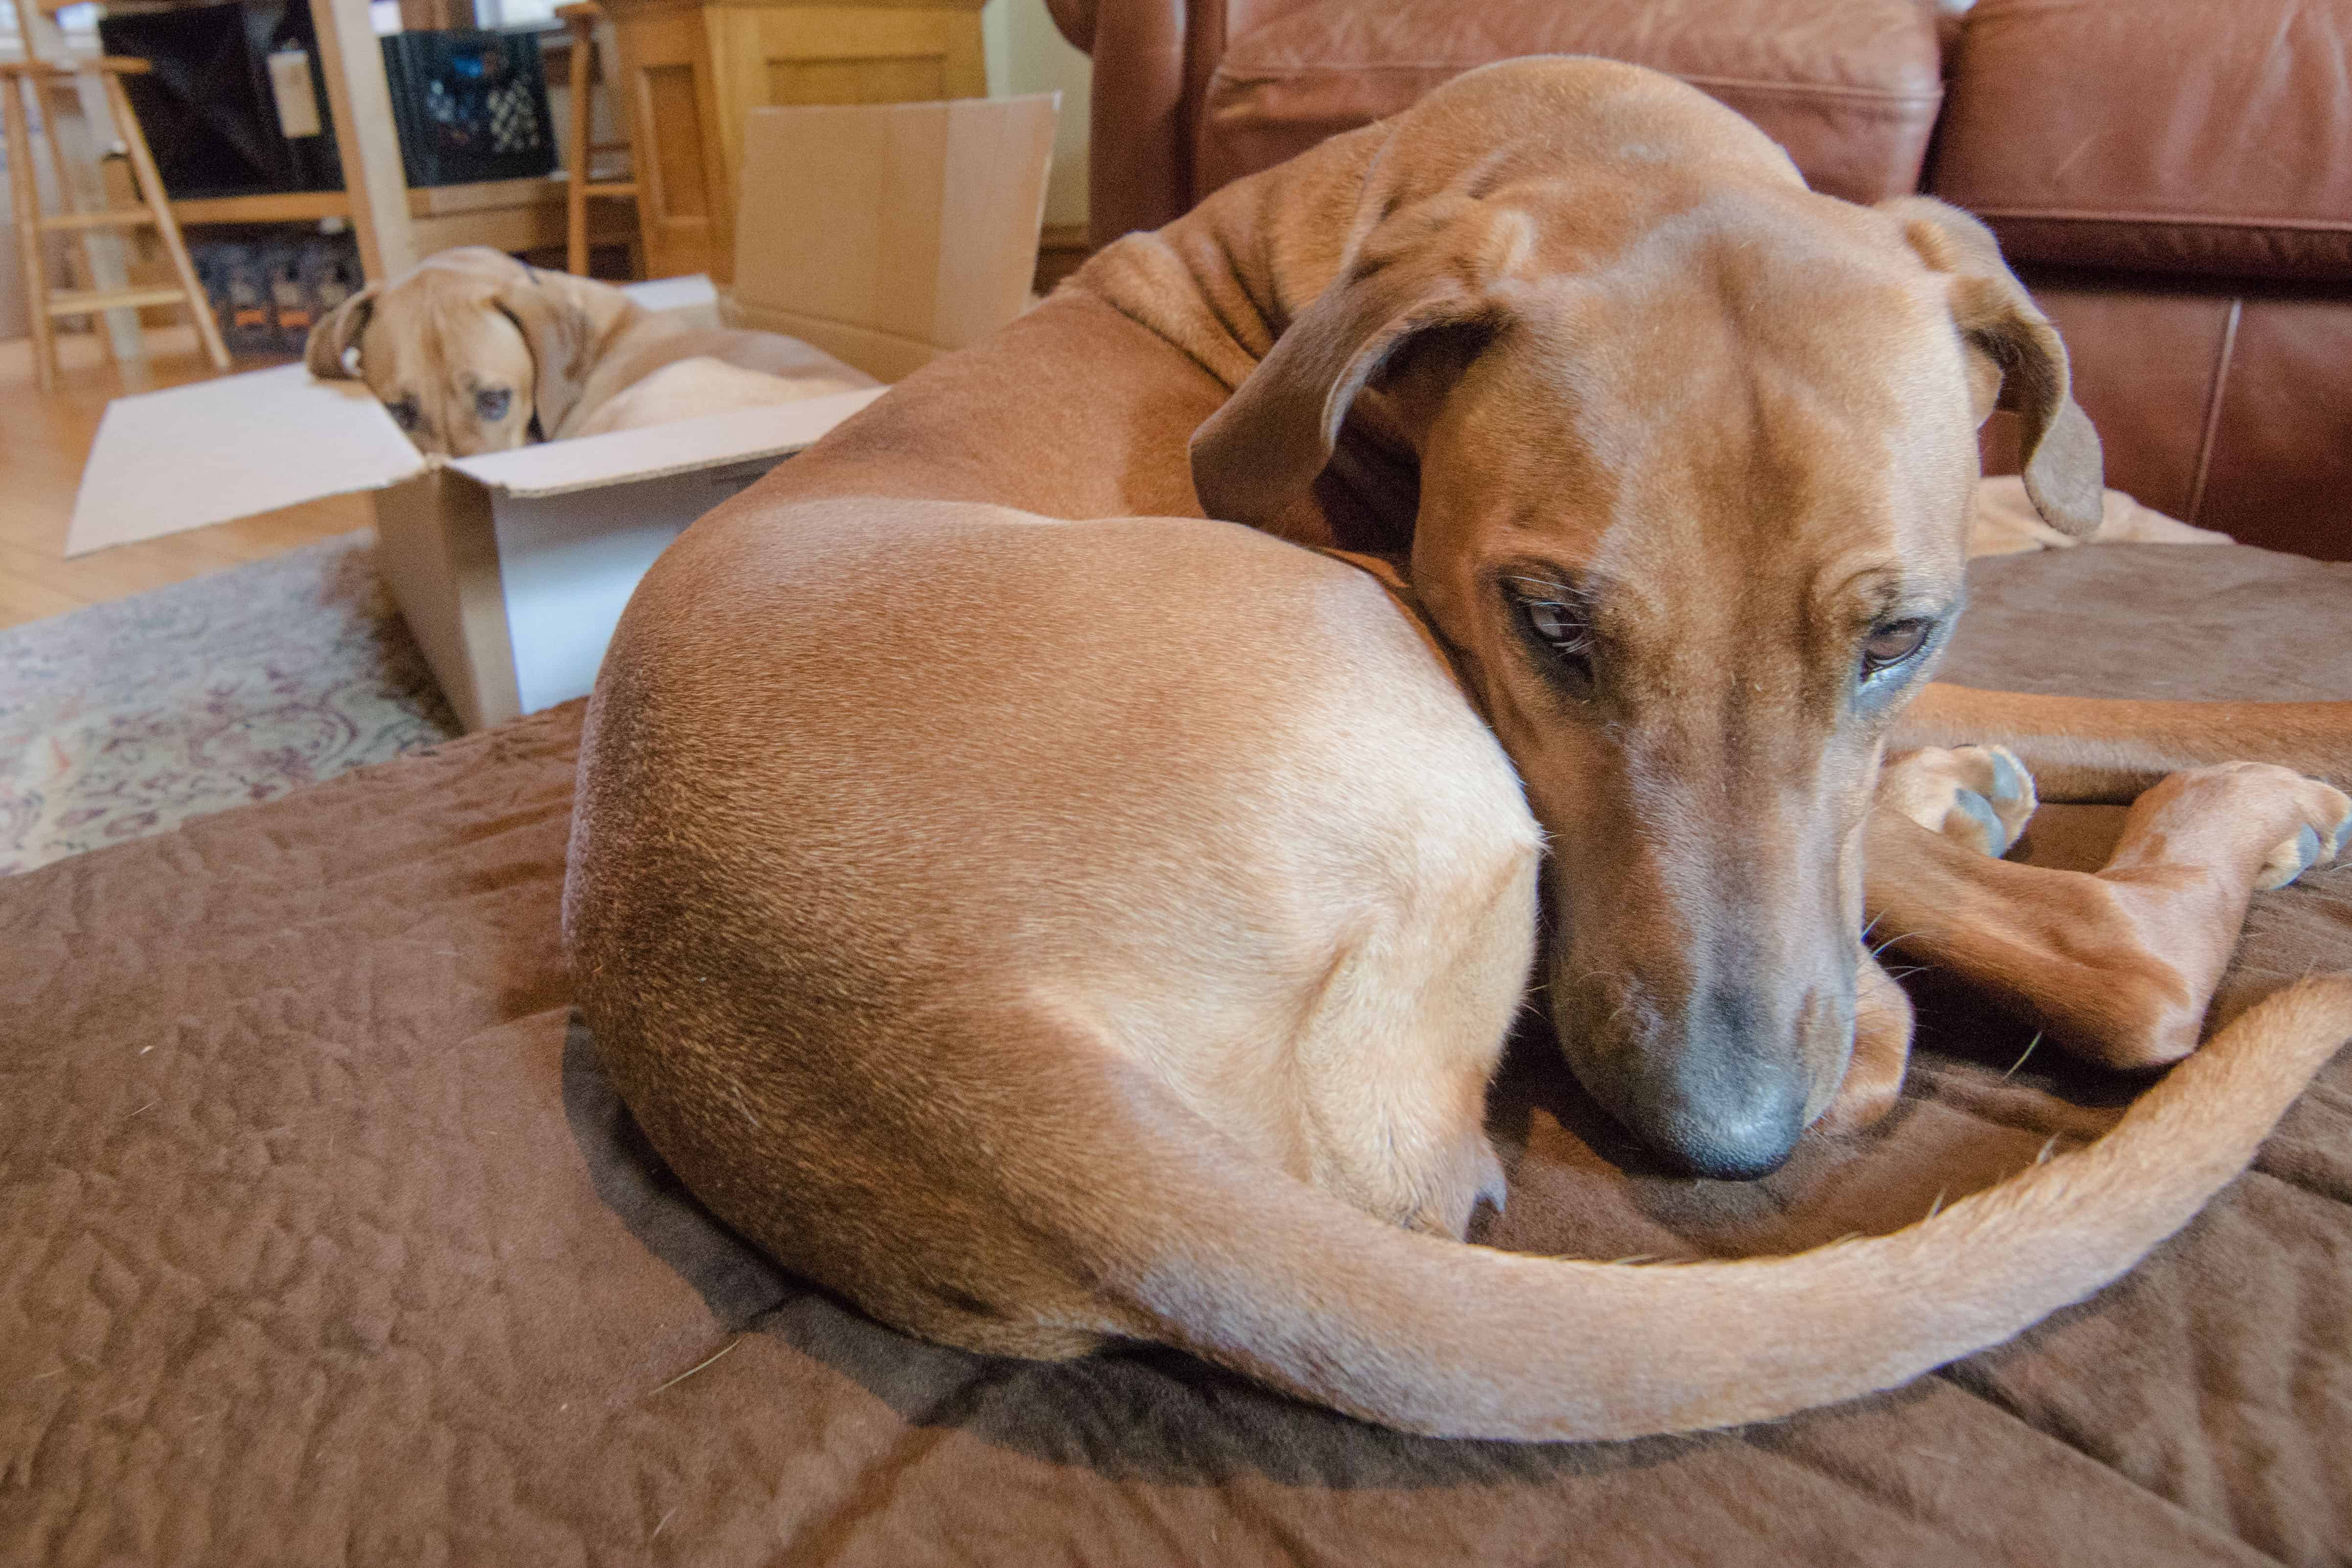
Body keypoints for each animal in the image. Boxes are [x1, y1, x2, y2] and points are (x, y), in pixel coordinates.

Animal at [564, 61, 2352, 1438]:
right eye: (1550, 623)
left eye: (1893, 634)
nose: (1717, 1136)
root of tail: (958, 1048)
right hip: (1384, 633)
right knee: (2049, 980)